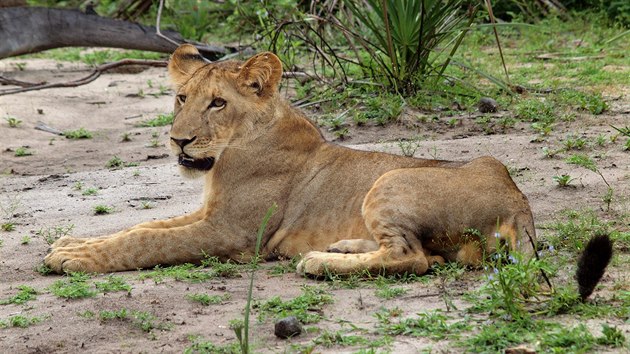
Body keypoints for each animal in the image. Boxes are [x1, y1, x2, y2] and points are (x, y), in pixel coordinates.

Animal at [44, 45, 612, 290]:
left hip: (389, 179)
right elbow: (141, 225)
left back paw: (319, 262)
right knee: (417, 252)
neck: (226, 157)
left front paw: (75, 259)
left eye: (218, 104)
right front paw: (71, 243)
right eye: (181, 98)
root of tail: (519, 199)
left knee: (414, 259)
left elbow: (146, 241)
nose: (178, 140)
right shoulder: (208, 213)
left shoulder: (232, 233)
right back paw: (341, 246)